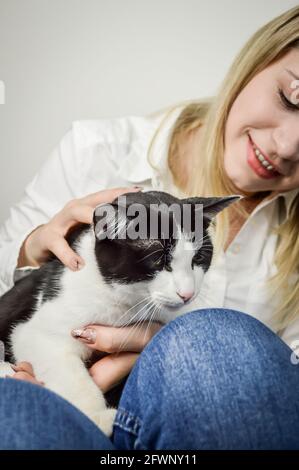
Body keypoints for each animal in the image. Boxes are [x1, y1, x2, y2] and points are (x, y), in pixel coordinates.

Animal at [0, 189, 240, 436]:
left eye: (198, 258)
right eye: (158, 261)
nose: (187, 294)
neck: (126, 303)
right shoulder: (39, 329)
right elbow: (69, 373)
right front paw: (96, 417)